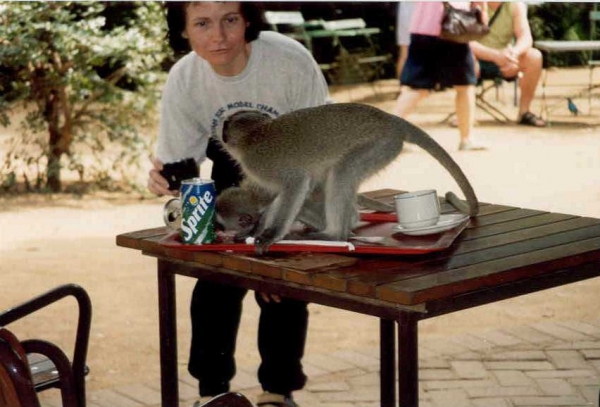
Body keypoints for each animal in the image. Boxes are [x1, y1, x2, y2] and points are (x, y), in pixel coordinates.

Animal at [218, 103, 480, 255]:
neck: (253, 135)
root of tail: (391, 120)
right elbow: (278, 196)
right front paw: (257, 229)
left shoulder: (261, 164)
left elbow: (296, 184)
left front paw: (271, 235)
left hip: (380, 144)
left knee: (342, 171)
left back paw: (334, 236)